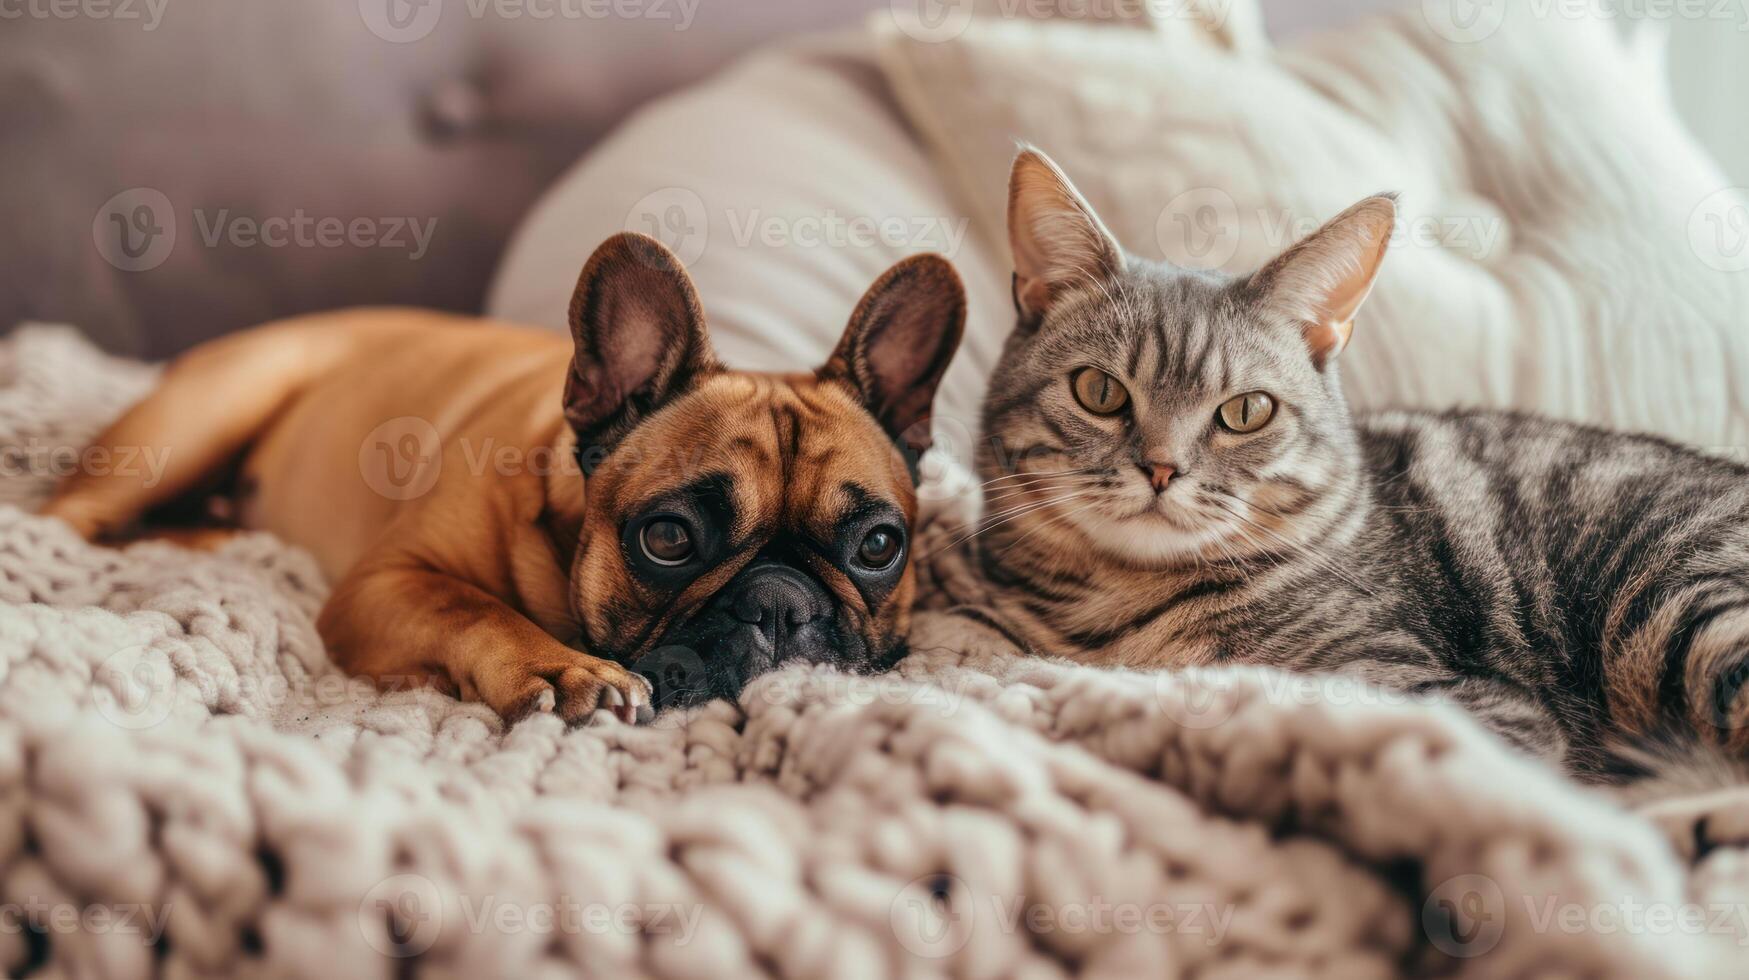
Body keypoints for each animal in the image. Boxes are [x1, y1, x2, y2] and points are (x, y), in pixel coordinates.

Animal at [965, 149, 1749, 784]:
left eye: (1245, 411)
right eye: (1099, 392)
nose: (1161, 469)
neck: (1118, 612)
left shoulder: (1455, 701)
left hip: (1678, 610)